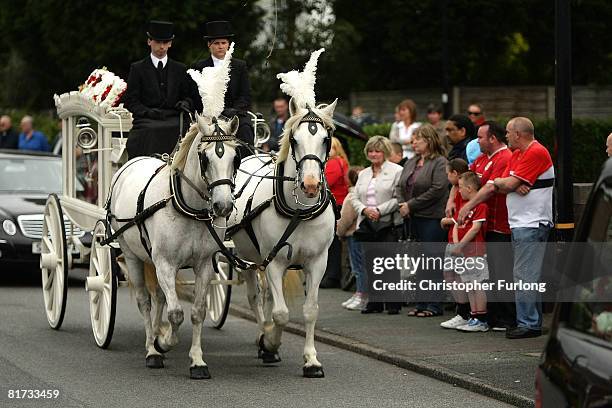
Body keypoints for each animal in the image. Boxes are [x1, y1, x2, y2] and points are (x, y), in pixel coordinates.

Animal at [109, 115, 238, 380]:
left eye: (235, 158)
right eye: (205, 158)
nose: (223, 206)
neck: (188, 207)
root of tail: (132, 162)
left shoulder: (204, 265)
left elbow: (197, 311)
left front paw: (197, 361)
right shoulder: (166, 265)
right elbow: (176, 312)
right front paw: (163, 343)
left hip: (151, 259)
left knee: (158, 297)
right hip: (131, 255)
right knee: (144, 301)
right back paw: (152, 349)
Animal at [227, 98, 338, 376]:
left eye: (325, 139)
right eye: (294, 139)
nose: (310, 185)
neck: (300, 211)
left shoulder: (318, 262)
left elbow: (310, 310)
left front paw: (311, 360)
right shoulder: (275, 262)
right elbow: (281, 313)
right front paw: (269, 343)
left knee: (266, 296)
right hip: (247, 258)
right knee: (255, 298)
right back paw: (262, 336)